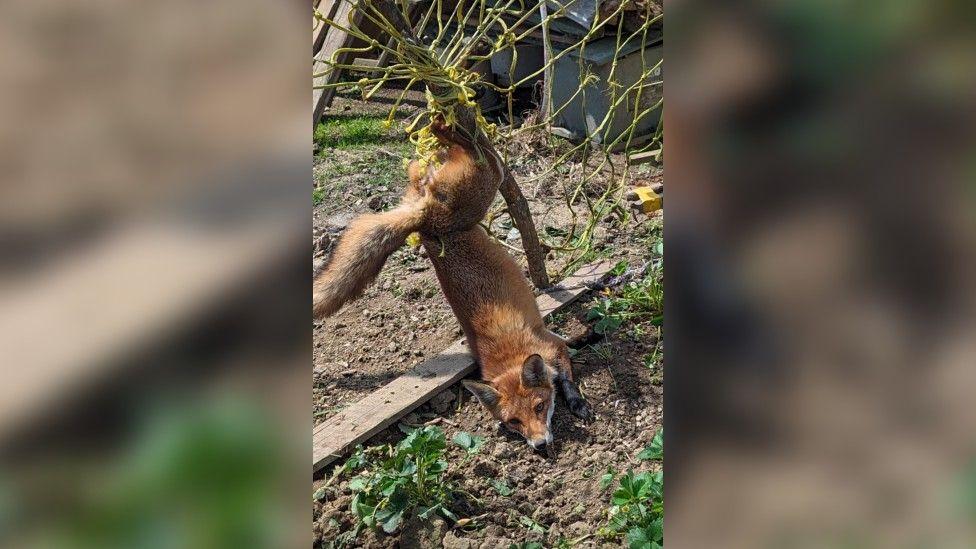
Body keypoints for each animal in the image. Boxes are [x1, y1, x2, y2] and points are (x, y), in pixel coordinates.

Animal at [314, 117, 504, 318]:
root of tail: (428, 216)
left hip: (471, 168)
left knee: (465, 149)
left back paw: (443, 131)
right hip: (467, 168)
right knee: (463, 149)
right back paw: (442, 130)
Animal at [426, 225, 600, 448]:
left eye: (539, 407)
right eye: (514, 421)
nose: (540, 444)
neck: (511, 356)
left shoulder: (553, 347)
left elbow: (566, 379)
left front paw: (578, 403)